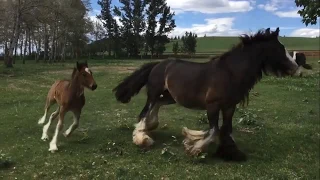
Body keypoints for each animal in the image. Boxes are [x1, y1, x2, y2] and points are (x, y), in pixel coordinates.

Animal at [112, 27, 298, 161]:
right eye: (280, 48)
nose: (296, 67)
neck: (230, 72)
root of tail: (158, 64)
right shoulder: (212, 105)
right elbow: (214, 130)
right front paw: (193, 147)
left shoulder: (229, 107)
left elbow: (226, 129)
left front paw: (230, 152)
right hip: (154, 93)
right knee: (144, 112)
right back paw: (142, 138)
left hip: (171, 97)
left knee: (156, 106)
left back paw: (150, 126)